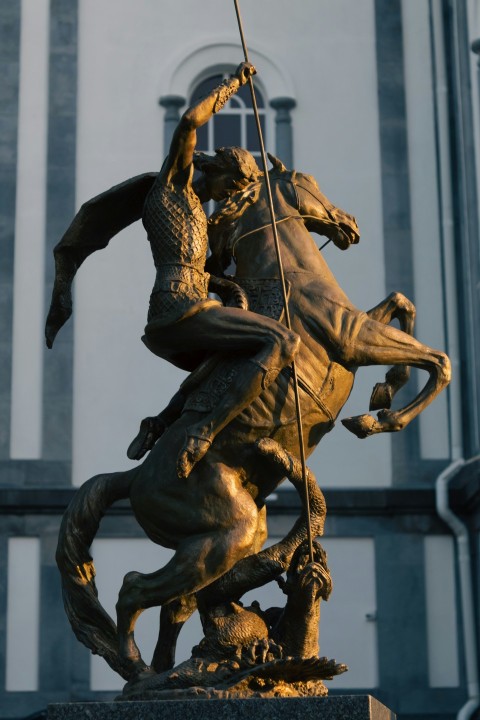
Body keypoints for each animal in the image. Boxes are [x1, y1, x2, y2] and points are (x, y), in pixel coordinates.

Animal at [55, 158, 450, 680]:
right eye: (307, 183)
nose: (349, 225)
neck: (289, 275)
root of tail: (133, 478)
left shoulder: (357, 328)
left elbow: (403, 305)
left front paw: (385, 391)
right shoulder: (352, 338)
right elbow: (438, 360)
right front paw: (377, 416)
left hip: (225, 539)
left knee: (178, 604)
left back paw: (176, 671)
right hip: (225, 537)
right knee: (134, 588)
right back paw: (140, 670)